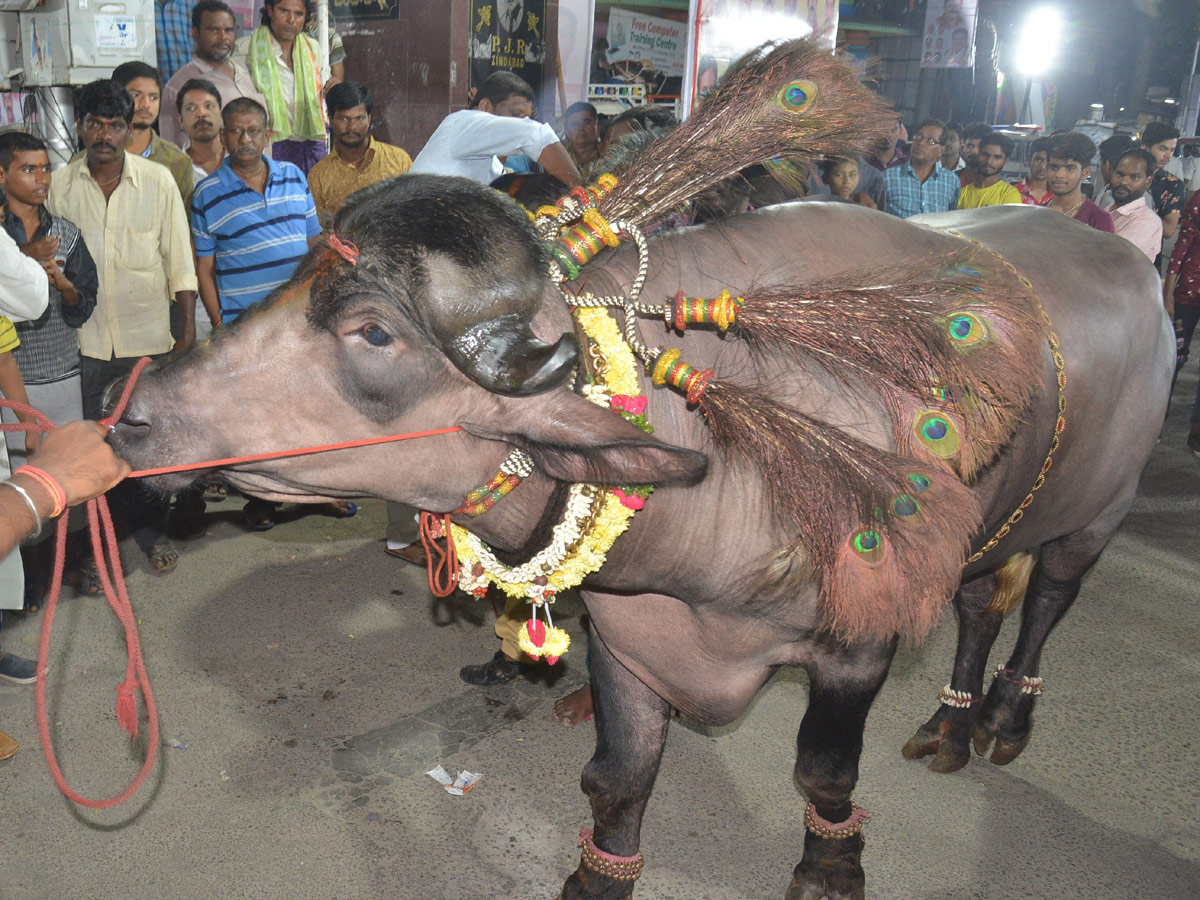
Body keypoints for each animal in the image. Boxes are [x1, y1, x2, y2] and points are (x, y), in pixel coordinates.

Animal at [112, 40, 1171, 900]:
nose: (135, 420)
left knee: (1045, 603)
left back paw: (1005, 718)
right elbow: (616, 779)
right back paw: (951, 725)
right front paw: (597, 873)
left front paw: (830, 867)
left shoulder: (857, 645)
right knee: (984, 602)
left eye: (373, 333)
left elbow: (825, 774)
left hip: (1095, 515)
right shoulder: (629, 637)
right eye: (295, 279)